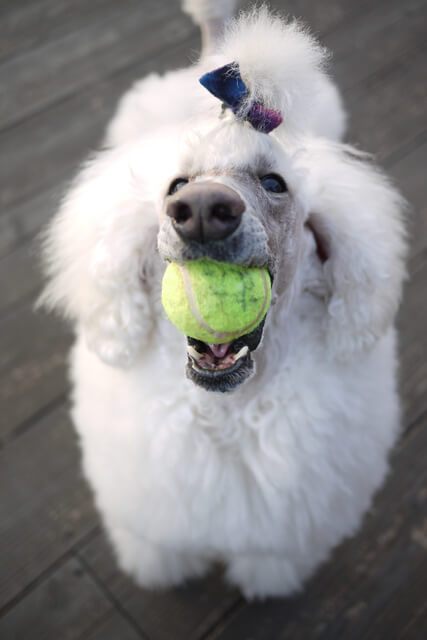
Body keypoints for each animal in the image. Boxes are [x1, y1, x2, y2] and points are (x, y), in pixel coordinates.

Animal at [40, 1, 408, 600]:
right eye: (176, 186)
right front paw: (160, 573)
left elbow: (270, 558)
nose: (203, 212)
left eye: (275, 183)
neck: (230, 411)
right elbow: (160, 547)